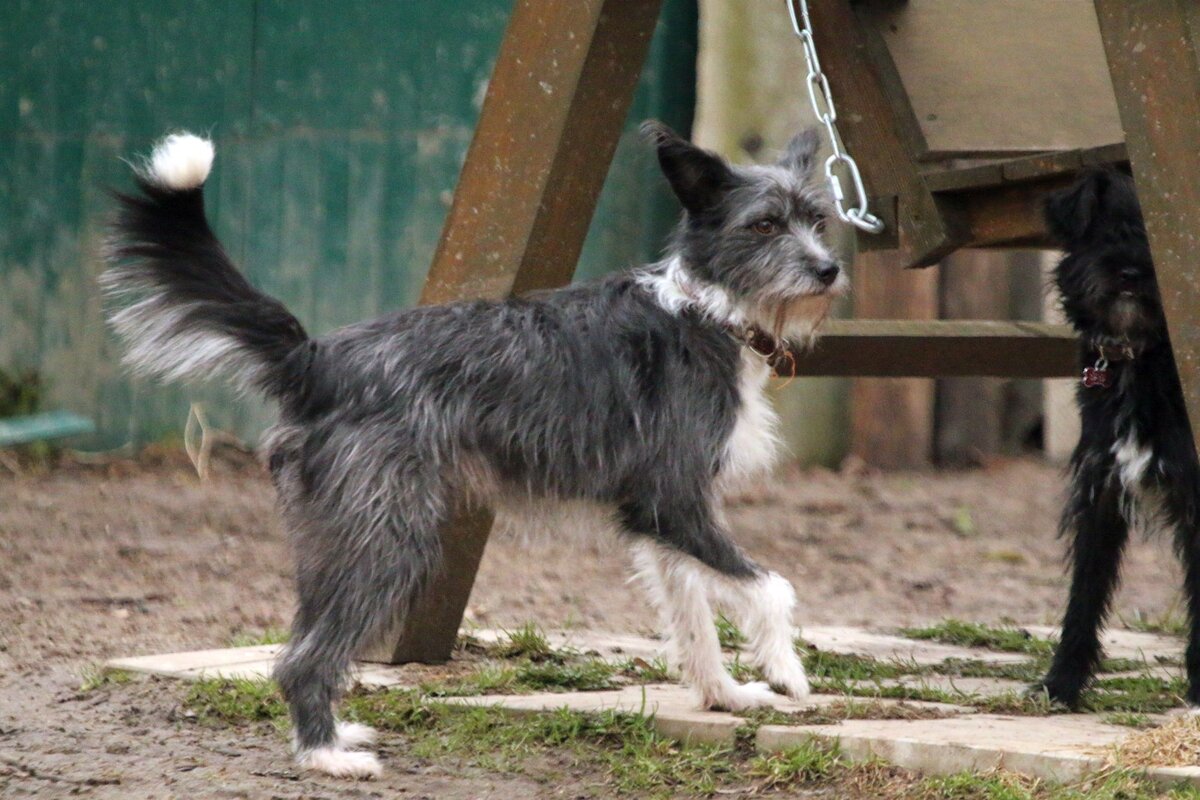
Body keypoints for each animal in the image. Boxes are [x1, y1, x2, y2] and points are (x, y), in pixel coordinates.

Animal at [105, 122, 844, 777]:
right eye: (764, 225)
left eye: (818, 221)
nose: (829, 270)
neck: (704, 306)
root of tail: (317, 360)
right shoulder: (675, 500)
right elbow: (771, 586)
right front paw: (787, 671)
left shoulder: (664, 519)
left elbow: (694, 617)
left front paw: (725, 695)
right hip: (389, 543)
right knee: (302, 659)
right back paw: (326, 757)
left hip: (339, 541)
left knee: (301, 642)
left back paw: (331, 737)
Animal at [1041, 169, 1200, 705]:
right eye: (1104, 231)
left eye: (1158, 234)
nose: (1130, 272)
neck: (1139, 357)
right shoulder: (1101, 489)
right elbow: (1085, 591)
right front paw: (1062, 682)